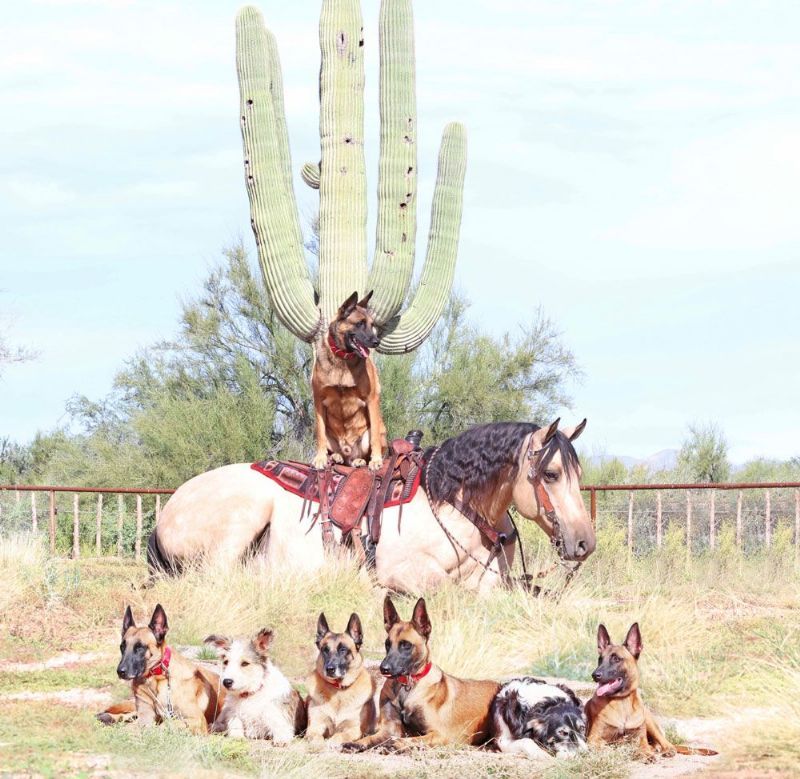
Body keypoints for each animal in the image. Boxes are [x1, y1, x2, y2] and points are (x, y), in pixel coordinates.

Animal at [149, 419, 595, 593]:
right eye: (551, 474)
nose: (584, 544)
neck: (450, 503)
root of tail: (167, 511)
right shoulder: (404, 571)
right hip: (242, 518)